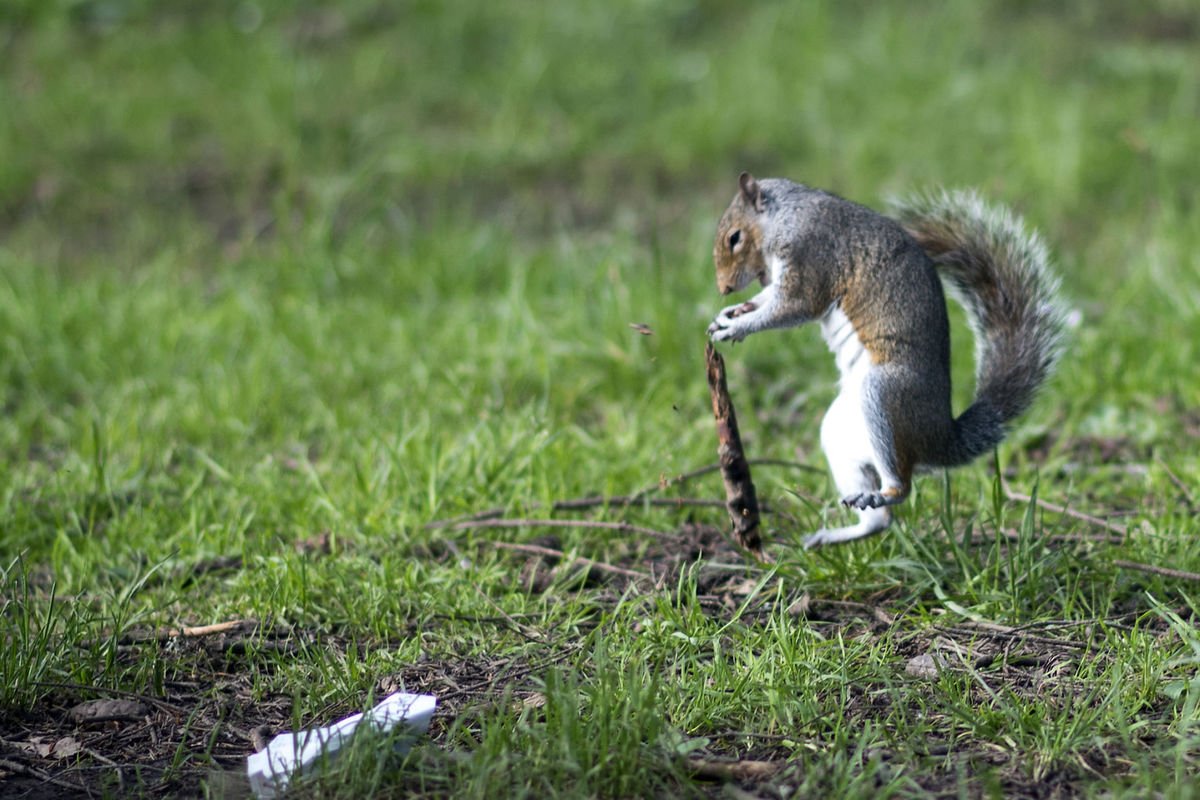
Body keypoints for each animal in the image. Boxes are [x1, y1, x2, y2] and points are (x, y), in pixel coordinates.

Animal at [707, 173, 1065, 548]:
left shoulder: (812, 255)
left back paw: (885, 493)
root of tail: (942, 440)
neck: (787, 216)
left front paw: (738, 325)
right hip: (840, 433)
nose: (724, 289)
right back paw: (833, 534)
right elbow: (768, 298)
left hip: (885, 394)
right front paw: (734, 312)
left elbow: (794, 305)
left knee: (903, 485)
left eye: (735, 238)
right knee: (878, 521)